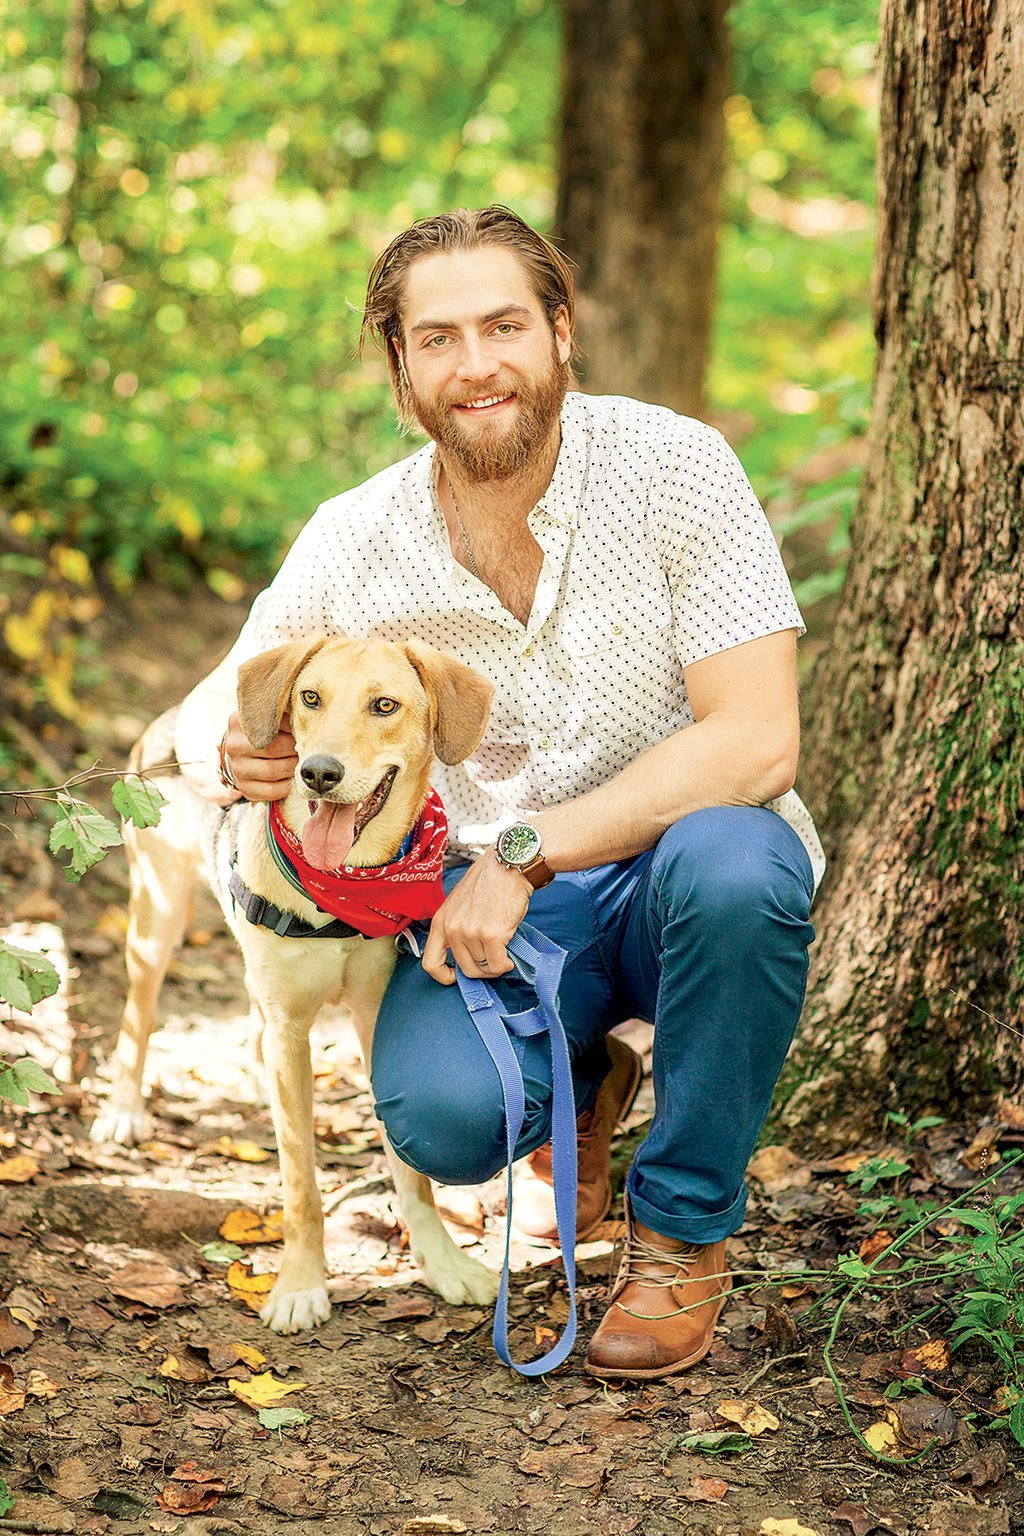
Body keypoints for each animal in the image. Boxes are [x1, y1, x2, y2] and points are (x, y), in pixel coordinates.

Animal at [92, 635, 500, 1333]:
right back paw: (123, 1111)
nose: (319, 773)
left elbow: (410, 1172)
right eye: (310, 697)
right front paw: (301, 1286)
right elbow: (300, 1179)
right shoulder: (290, 1027)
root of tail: (167, 720)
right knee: (138, 1017)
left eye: (384, 705)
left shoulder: (371, 1017)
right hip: (155, 915)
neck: (341, 889)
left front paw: (442, 1261)